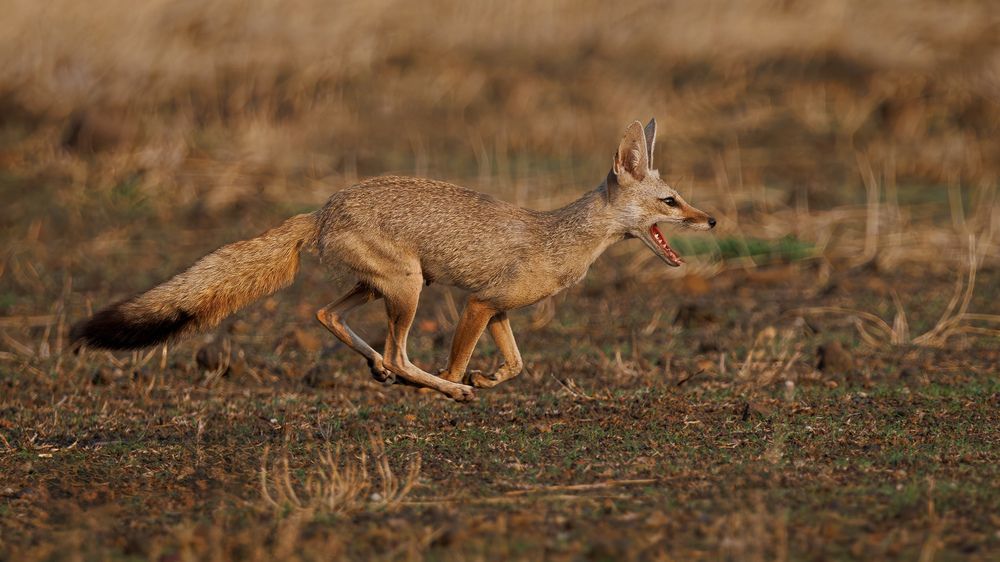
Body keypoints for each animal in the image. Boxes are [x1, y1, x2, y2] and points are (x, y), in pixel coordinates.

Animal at [71, 119, 716, 401]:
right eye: (671, 201)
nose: (711, 221)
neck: (560, 237)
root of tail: (323, 207)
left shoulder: (497, 310)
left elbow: (517, 364)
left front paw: (487, 377)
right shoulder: (476, 303)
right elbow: (460, 362)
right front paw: (458, 385)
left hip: (392, 286)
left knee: (328, 317)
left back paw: (379, 370)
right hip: (408, 288)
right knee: (399, 352)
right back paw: (429, 386)